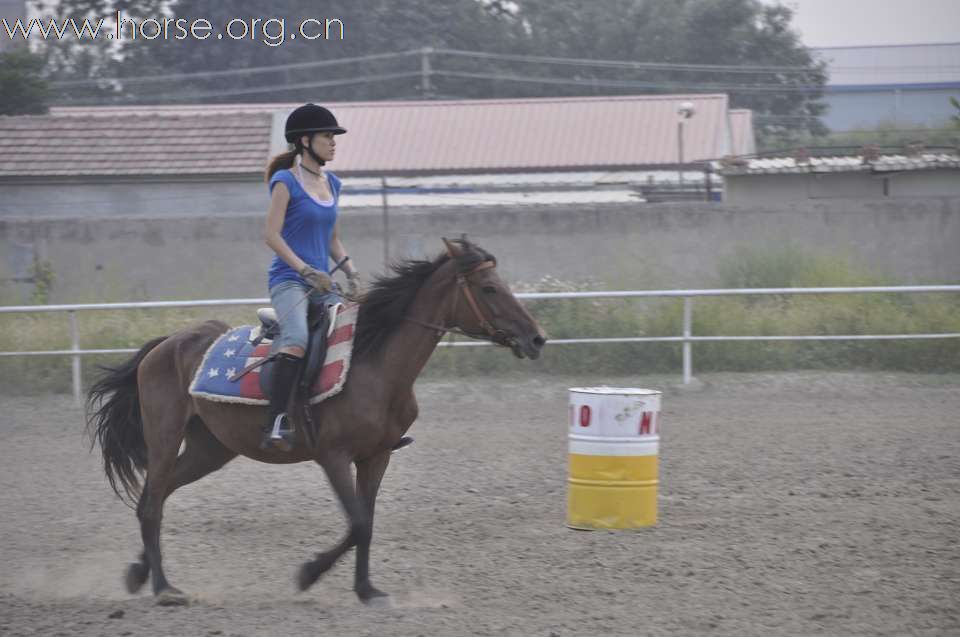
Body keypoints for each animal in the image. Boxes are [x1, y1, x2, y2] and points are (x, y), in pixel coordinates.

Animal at [86, 236, 548, 604]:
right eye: (489, 287)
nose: (536, 337)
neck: (373, 364)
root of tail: (169, 343)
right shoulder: (334, 456)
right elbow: (358, 522)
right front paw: (310, 574)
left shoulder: (377, 457)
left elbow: (366, 524)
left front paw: (366, 589)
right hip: (164, 436)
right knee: (151, 506)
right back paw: (164, 589)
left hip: (210, 449)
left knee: (158, 496)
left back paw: (139, 573)